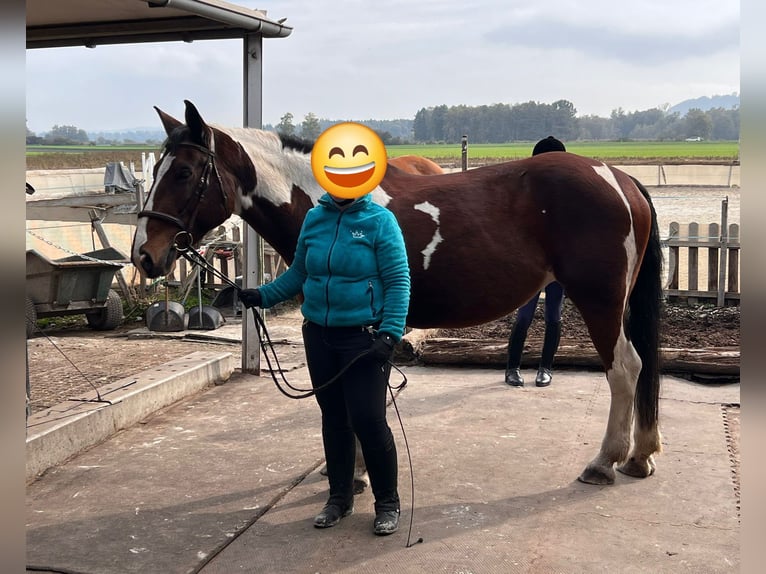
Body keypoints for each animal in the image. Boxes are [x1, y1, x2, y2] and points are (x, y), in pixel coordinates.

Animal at [132, 100, 663, 486]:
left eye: (183, 173)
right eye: (155, 170)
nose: (144, 255)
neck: (334, 207)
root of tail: (617, 177)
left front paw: (359, 472)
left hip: (600, 302)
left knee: (625, 369)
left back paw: (605, 461)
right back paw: (640, 455)